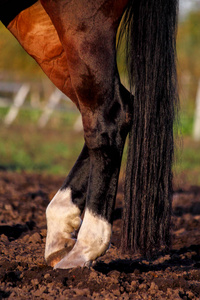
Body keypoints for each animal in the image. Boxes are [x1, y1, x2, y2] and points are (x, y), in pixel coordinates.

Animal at [0, 0, 178, 270]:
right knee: (114, 110)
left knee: (109, 116)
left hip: (82, 25)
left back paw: (86, 247)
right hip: (42, 34)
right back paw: (61, 230)